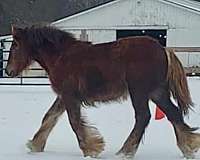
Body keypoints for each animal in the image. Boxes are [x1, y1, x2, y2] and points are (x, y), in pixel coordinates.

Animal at [5, 25, 200, 159]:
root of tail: (164, 49)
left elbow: (74, 123)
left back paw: (125, 152)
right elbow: (49, 117)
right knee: (173, 113)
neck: (61, 56)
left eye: (15, 45)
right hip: (156, 92)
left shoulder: (69, 96)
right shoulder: (63, 96)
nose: (8, 71)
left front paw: (91, 149)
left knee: (143, 117)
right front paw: (35, 145)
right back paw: (188, 147)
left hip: (139, 92)